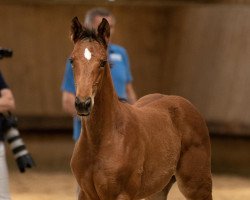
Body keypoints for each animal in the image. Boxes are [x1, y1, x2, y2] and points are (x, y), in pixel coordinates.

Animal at [69, 17, 212, 200]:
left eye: (102, 62)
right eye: (72, 61)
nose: (83, 103)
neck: (101, 140)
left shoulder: (122, 195)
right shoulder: (85, 193)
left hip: (197, 185)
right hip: (158, 189)